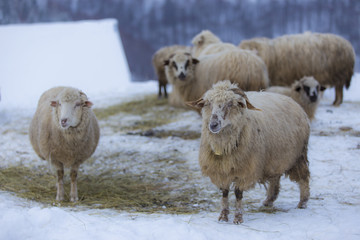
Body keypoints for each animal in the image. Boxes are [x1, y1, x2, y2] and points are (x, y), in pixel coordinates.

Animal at [187, 80, 310, 223]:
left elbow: (238, 194)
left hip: (299, 156)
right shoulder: (221, 171)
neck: (224, 145)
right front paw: (223, 216)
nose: (213, 125)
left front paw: (238, 218)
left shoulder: (244, 171)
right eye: (208, 103)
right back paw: (269, 200)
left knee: (304, 178)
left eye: (230, 104)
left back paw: (303, 203)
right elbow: (224, 193)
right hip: (275, 157)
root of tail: (294, 102)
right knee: (275, 178)